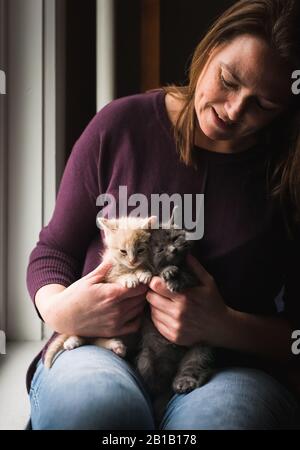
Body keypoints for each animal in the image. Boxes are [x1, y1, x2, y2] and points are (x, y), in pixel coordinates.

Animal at [45, 215, 157, 370]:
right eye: (123, 251)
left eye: (140, 250)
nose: (132, 261)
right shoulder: (108, 276)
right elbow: (117, 276)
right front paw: (129, 278)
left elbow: (144, 266)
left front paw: (144, 272)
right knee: (89, 337)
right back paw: (74, 341)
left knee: (95, 340)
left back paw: (116, 346)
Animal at [136, 218, 213, 422]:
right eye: (160, 249)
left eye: (176, 237)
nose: (173, 249)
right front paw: (168, 271)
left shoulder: (195, 278)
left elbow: (186, 276)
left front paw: (174, 276)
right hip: (145, 359)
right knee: (155, 384)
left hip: (200, 349)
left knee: (194, 365)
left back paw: (184, 383)